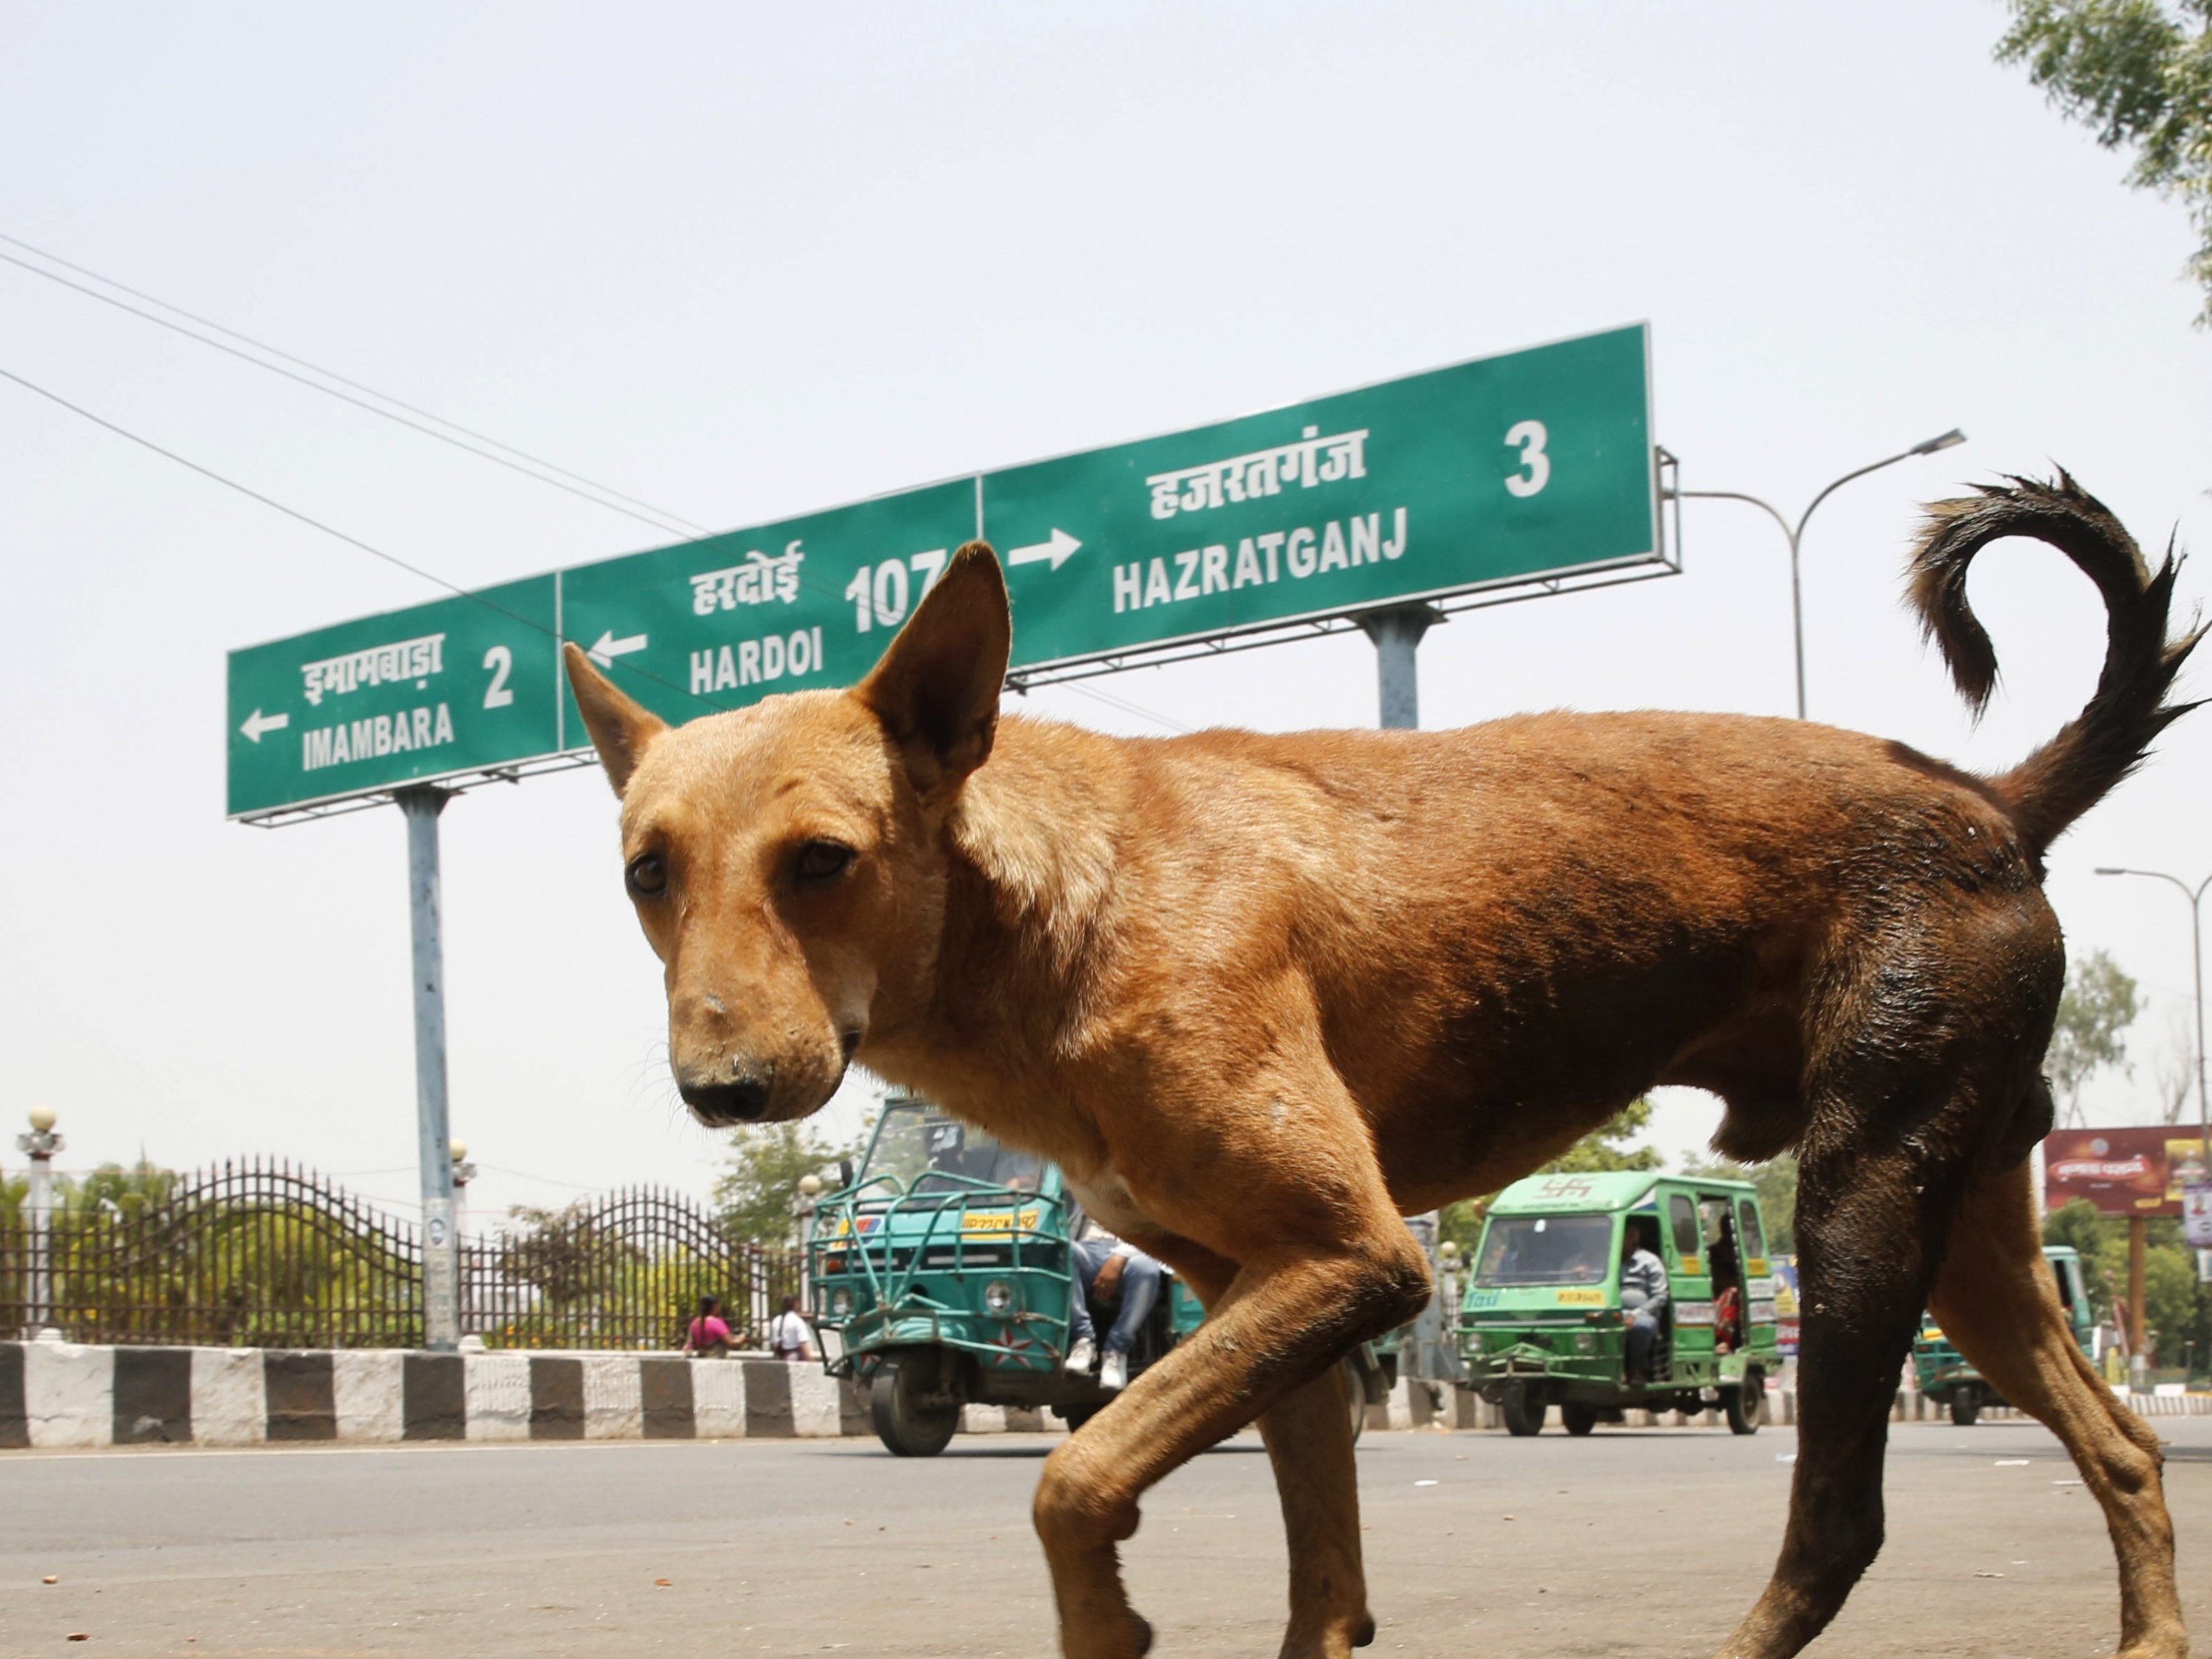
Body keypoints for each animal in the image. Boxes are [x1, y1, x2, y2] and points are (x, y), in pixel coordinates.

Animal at [566, 471, 2194, 1659]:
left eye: (823, 861)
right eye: (648, 872)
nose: (722, 1093)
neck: (1059, 908)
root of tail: (1990, 797)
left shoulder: (1354, 1260)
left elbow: (1073, 1478)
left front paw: (1110, 1617)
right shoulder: (1267, 1290)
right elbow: (1319, 1574)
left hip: (1862, 1211)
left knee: (1842, 1518)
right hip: (1963, 1230)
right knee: (2123, 1447)